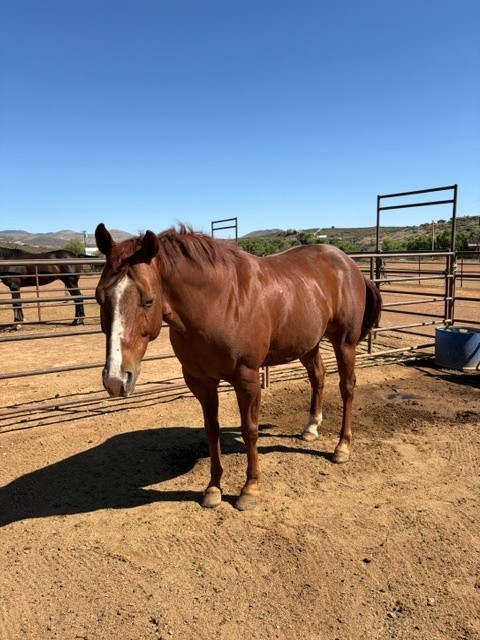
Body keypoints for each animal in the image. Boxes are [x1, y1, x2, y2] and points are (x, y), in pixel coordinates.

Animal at [94, 223, 382, 511]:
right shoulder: (200, 381)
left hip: (344, 342)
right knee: (318, 377)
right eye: (99, 298)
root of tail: (348, 264)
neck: (220, 303)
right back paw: (311, 428)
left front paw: (249, 489)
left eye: (148, 300)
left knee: (347, 387)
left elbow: (249, 430)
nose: (115, 380)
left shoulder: (247, 379)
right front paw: (213, 488)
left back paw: (342, 447)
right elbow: (212, 430)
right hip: (308, 344)